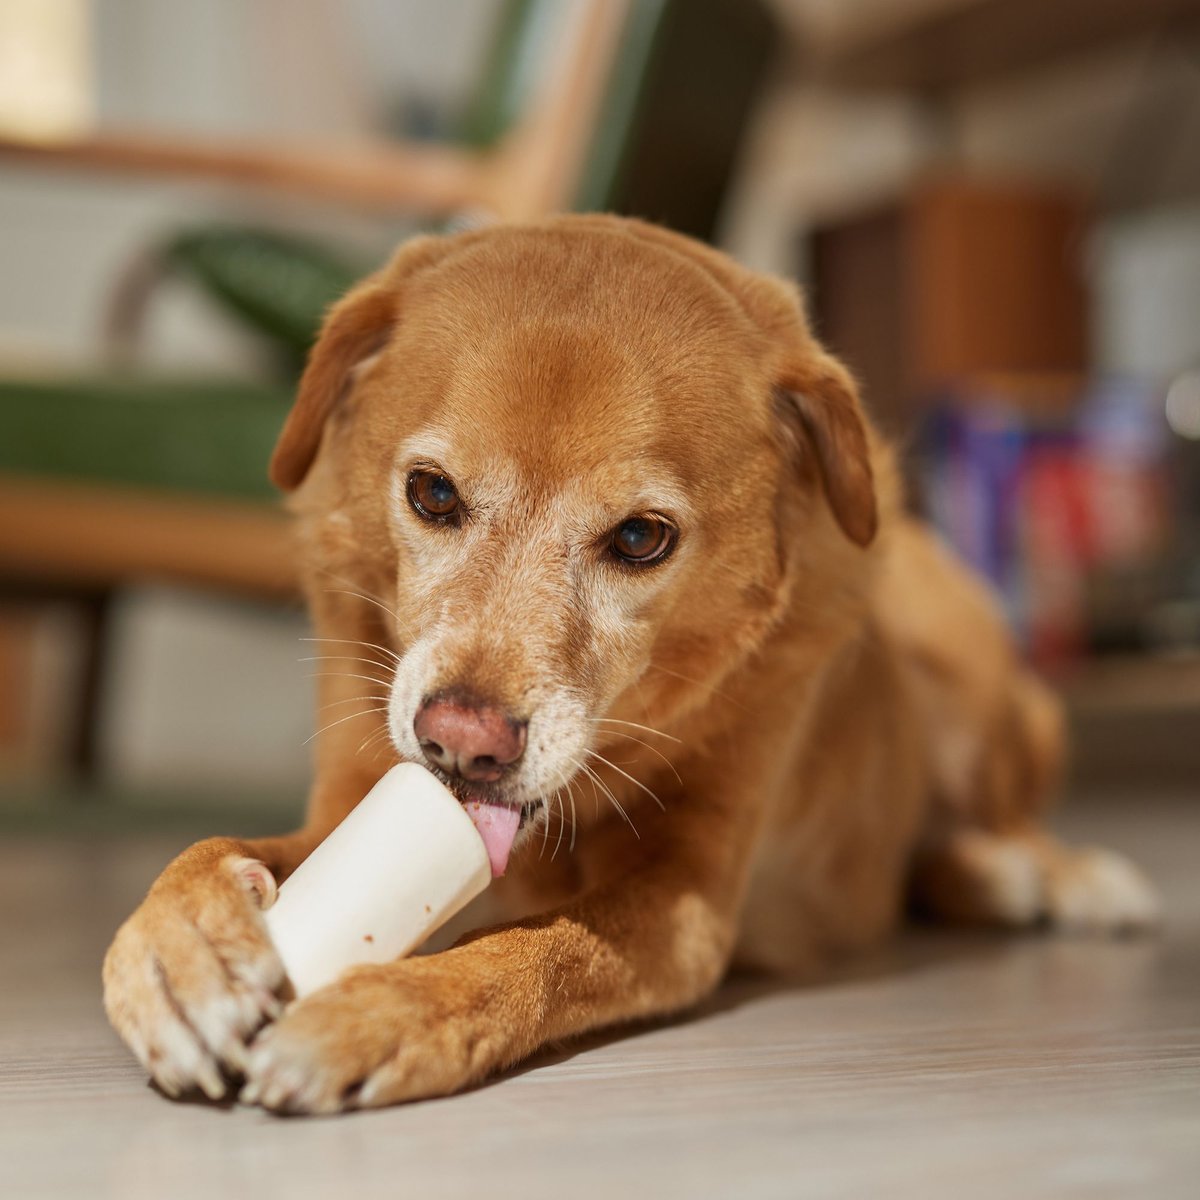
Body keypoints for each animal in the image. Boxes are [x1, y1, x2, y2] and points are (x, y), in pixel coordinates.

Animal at [105, 208, 1161, 1113]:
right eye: (432, 493)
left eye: (643, 538)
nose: (463, 745)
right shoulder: (351, 809)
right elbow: (206, 853)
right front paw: (178, 954)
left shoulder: (684, 901)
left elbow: (534, 945)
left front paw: (385, 1013)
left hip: (970, 672)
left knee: (1000, 817)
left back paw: (1059, 876)